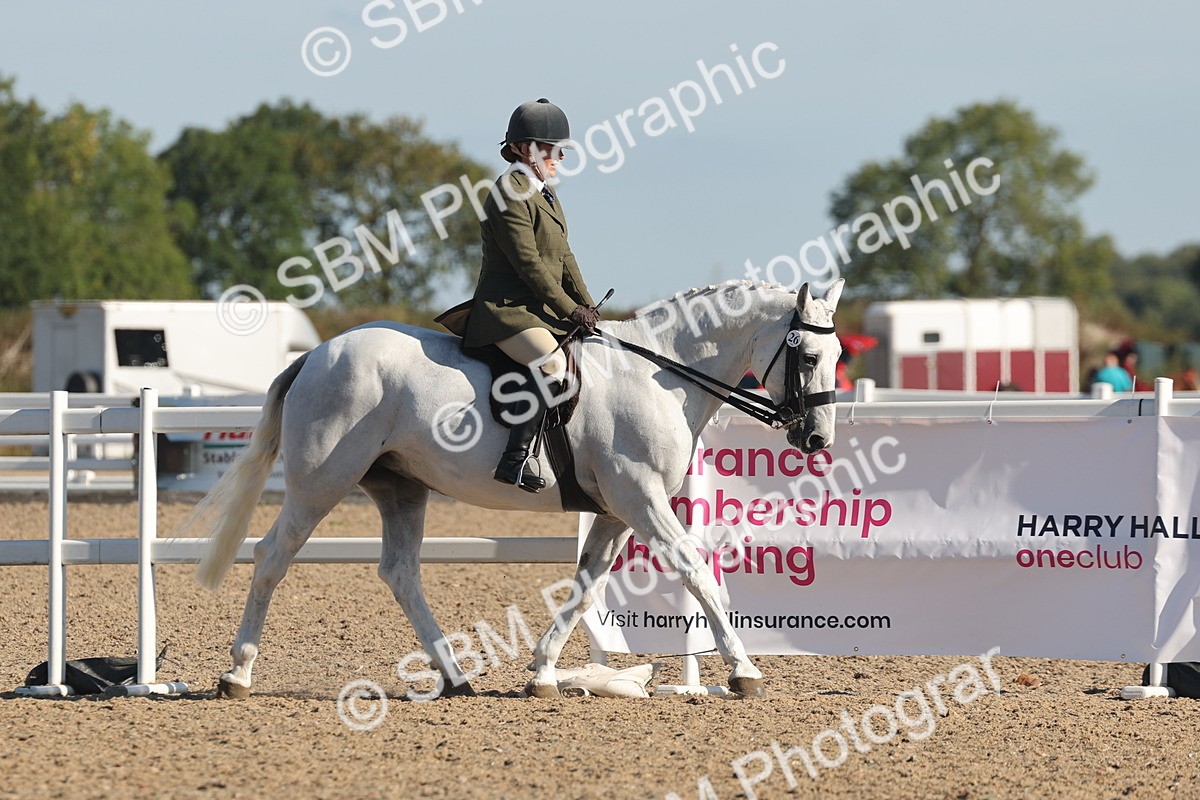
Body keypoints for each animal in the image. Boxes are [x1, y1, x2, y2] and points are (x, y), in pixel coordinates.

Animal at [185, 278, 844, 699]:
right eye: (810, 355)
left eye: (839, 353)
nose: (816, 438)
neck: (660, 375)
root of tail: (318, 354)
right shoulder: (642, 499)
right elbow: (698, 573)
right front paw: (744, 670)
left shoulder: (617, 510)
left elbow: (584, 586)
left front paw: (543, 673)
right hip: (321, 482)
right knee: (273, 557)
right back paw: (237, 674)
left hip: (400, 488)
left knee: (400, 572)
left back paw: (455, 677)